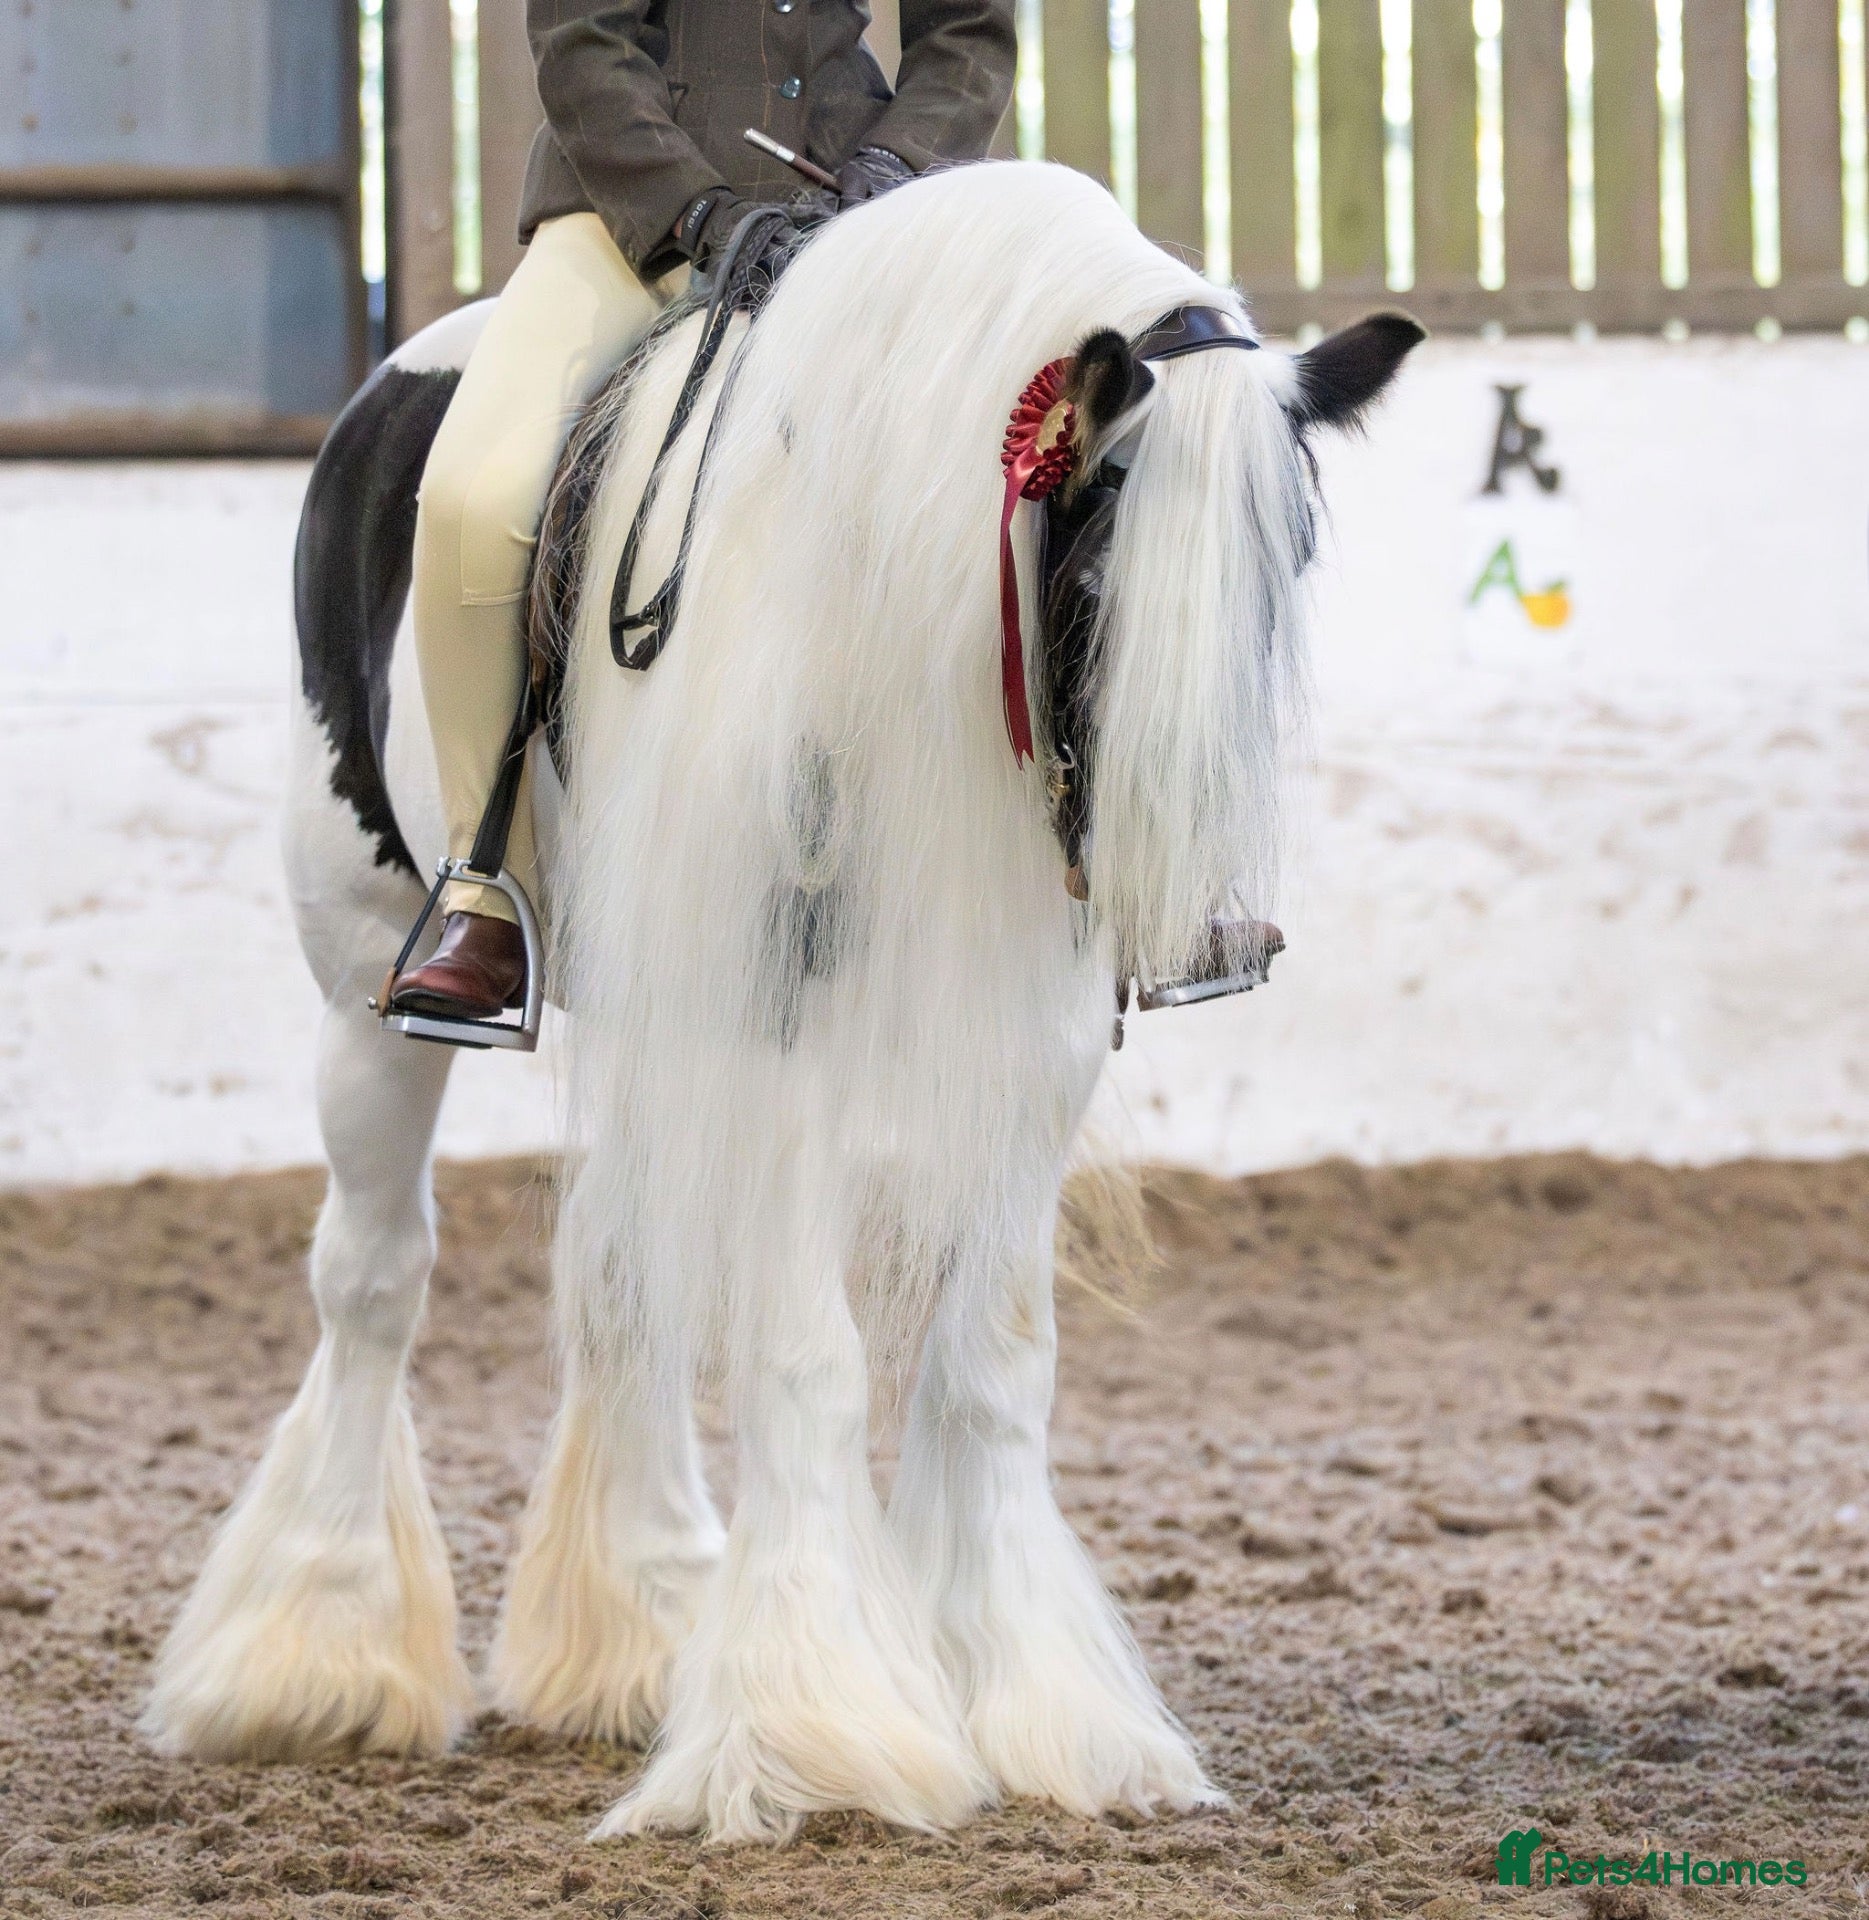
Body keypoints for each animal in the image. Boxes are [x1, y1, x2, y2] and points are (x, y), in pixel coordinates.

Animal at [140, 160, 1421, 1843]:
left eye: (1285, 572)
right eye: (1092, 574)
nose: (1181, 910)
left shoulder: (1031, 1041)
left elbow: (992, 1360)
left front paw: (1041, 1715)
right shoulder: (772, 1003)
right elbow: (809, 1357)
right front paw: (818, 1736)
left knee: (617, 1274)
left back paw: (638, 1634)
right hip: (366, 985)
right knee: (371, 1281)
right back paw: (315, 1656)